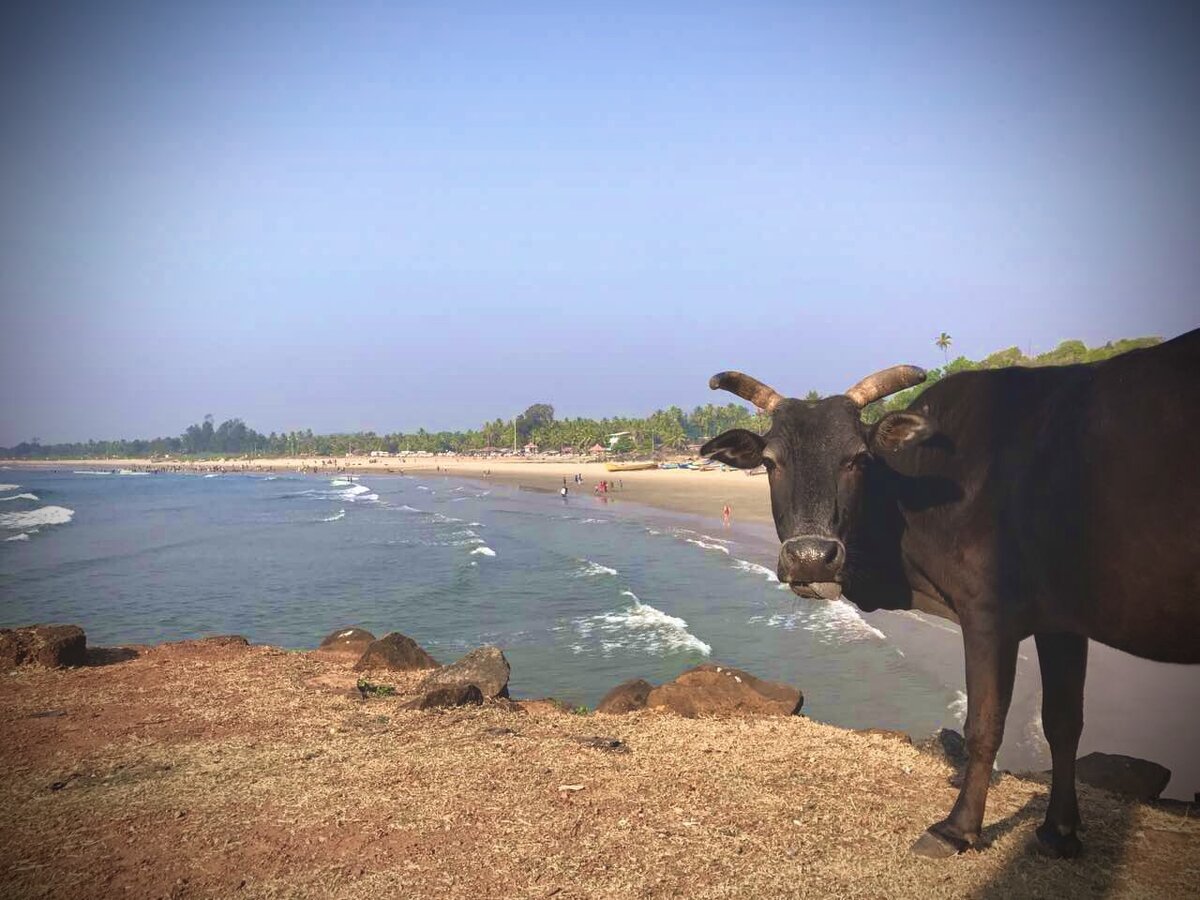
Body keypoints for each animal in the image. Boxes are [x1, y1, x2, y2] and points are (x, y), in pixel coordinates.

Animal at [700, 328, 1200, 859]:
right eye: (770, 462)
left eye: (858, 459)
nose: (811, 557)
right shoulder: (1062, 623)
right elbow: (1063, 723)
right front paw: (1060, 830)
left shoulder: (988, 615)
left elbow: (984, 725)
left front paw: (959, 828)